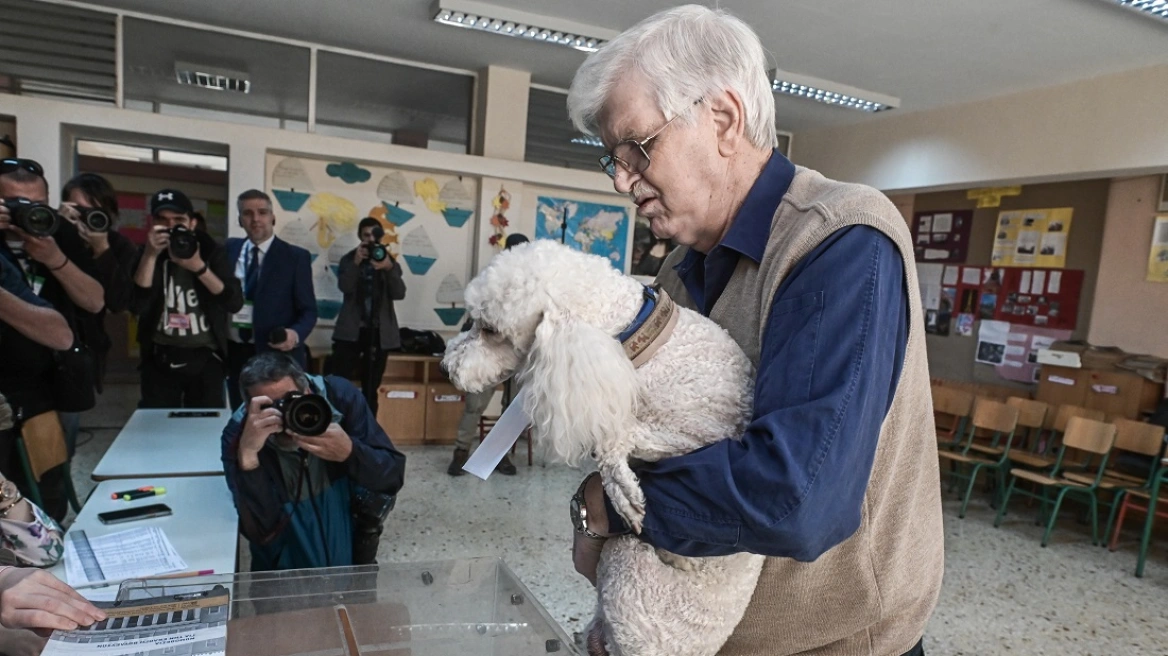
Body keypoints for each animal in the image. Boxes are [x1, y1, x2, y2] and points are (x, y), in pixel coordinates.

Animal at [441, 240, 761, 653]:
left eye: (491, 330)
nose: (446, 367)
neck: (637, 338)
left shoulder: (705, 435)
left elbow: (617, 438)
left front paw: (621, 489)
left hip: (624, 562)